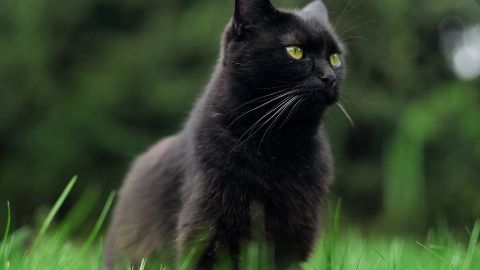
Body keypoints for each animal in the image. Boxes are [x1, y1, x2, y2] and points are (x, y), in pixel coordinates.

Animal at [105, 0, 344, 268]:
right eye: (295, 51)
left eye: (335, 58)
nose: (330, 78)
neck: (280, 144)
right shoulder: (209, 233)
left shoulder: (293, 236)